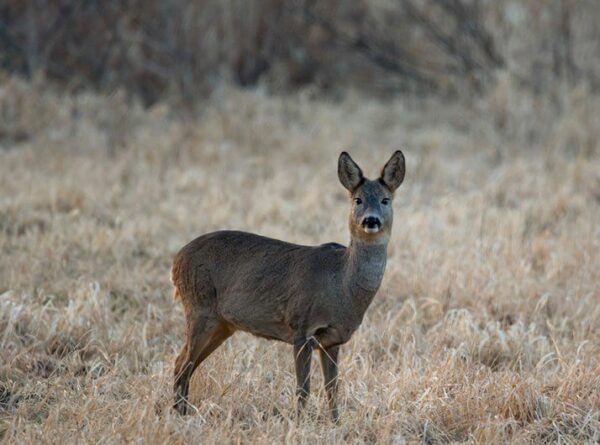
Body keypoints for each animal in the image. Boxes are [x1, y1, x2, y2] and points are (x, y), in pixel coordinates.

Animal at [173, 150, 408, 420]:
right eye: (357, 200)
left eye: (385, 200)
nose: (371, 220)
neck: (341, 284)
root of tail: (176, 260)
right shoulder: (301, 328)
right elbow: (303, 388)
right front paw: (299, 422)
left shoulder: (333, 340)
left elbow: (332, 387)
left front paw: (335, 422)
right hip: (199, 309)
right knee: (181, 363)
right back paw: (179, 414)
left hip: (222, 323)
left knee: (186, 364)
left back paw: (182, 411)